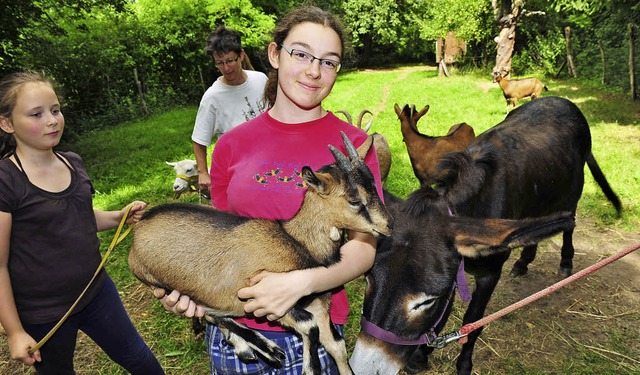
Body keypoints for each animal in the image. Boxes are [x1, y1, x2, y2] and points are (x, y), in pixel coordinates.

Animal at [128, 132, 392, 375]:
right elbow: (310, 332)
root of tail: (137, 231)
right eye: (354, 200)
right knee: (212, 314)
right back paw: (264, 349)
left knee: (212, 314)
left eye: (373, 186)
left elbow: (336, 346)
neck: (296, 241)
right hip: (164, 285)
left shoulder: (318, 304)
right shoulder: (271, 300)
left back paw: (257, 350)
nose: (388, 225)